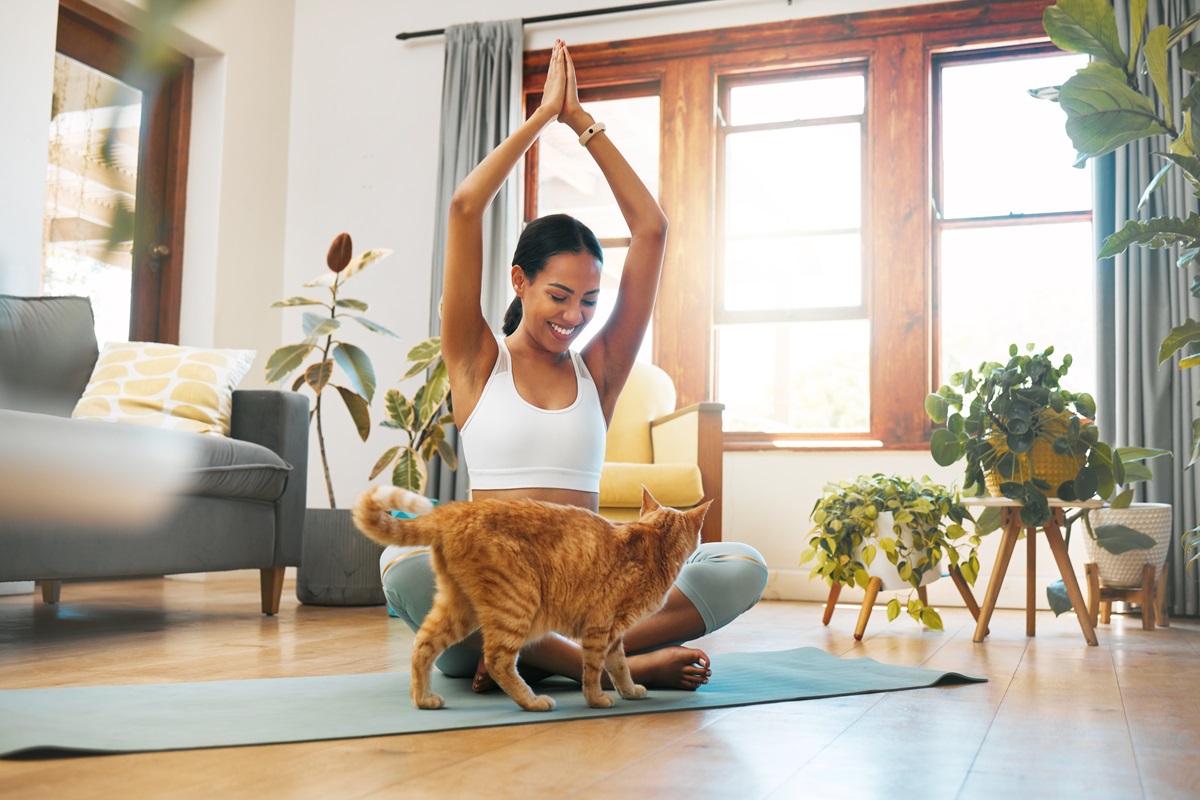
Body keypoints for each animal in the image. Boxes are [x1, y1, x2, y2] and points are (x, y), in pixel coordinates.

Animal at [350, 482, 705, 714]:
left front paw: (629, 691)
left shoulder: (614, 634)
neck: (655, 543)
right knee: (497, 660)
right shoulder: (599, 628)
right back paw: (532, 701)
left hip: (459, 609)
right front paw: (596, 700)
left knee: (423, 645)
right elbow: (593, 670)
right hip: (517, 602)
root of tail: (456, 510)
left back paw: (423, 699)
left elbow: (619, 667)